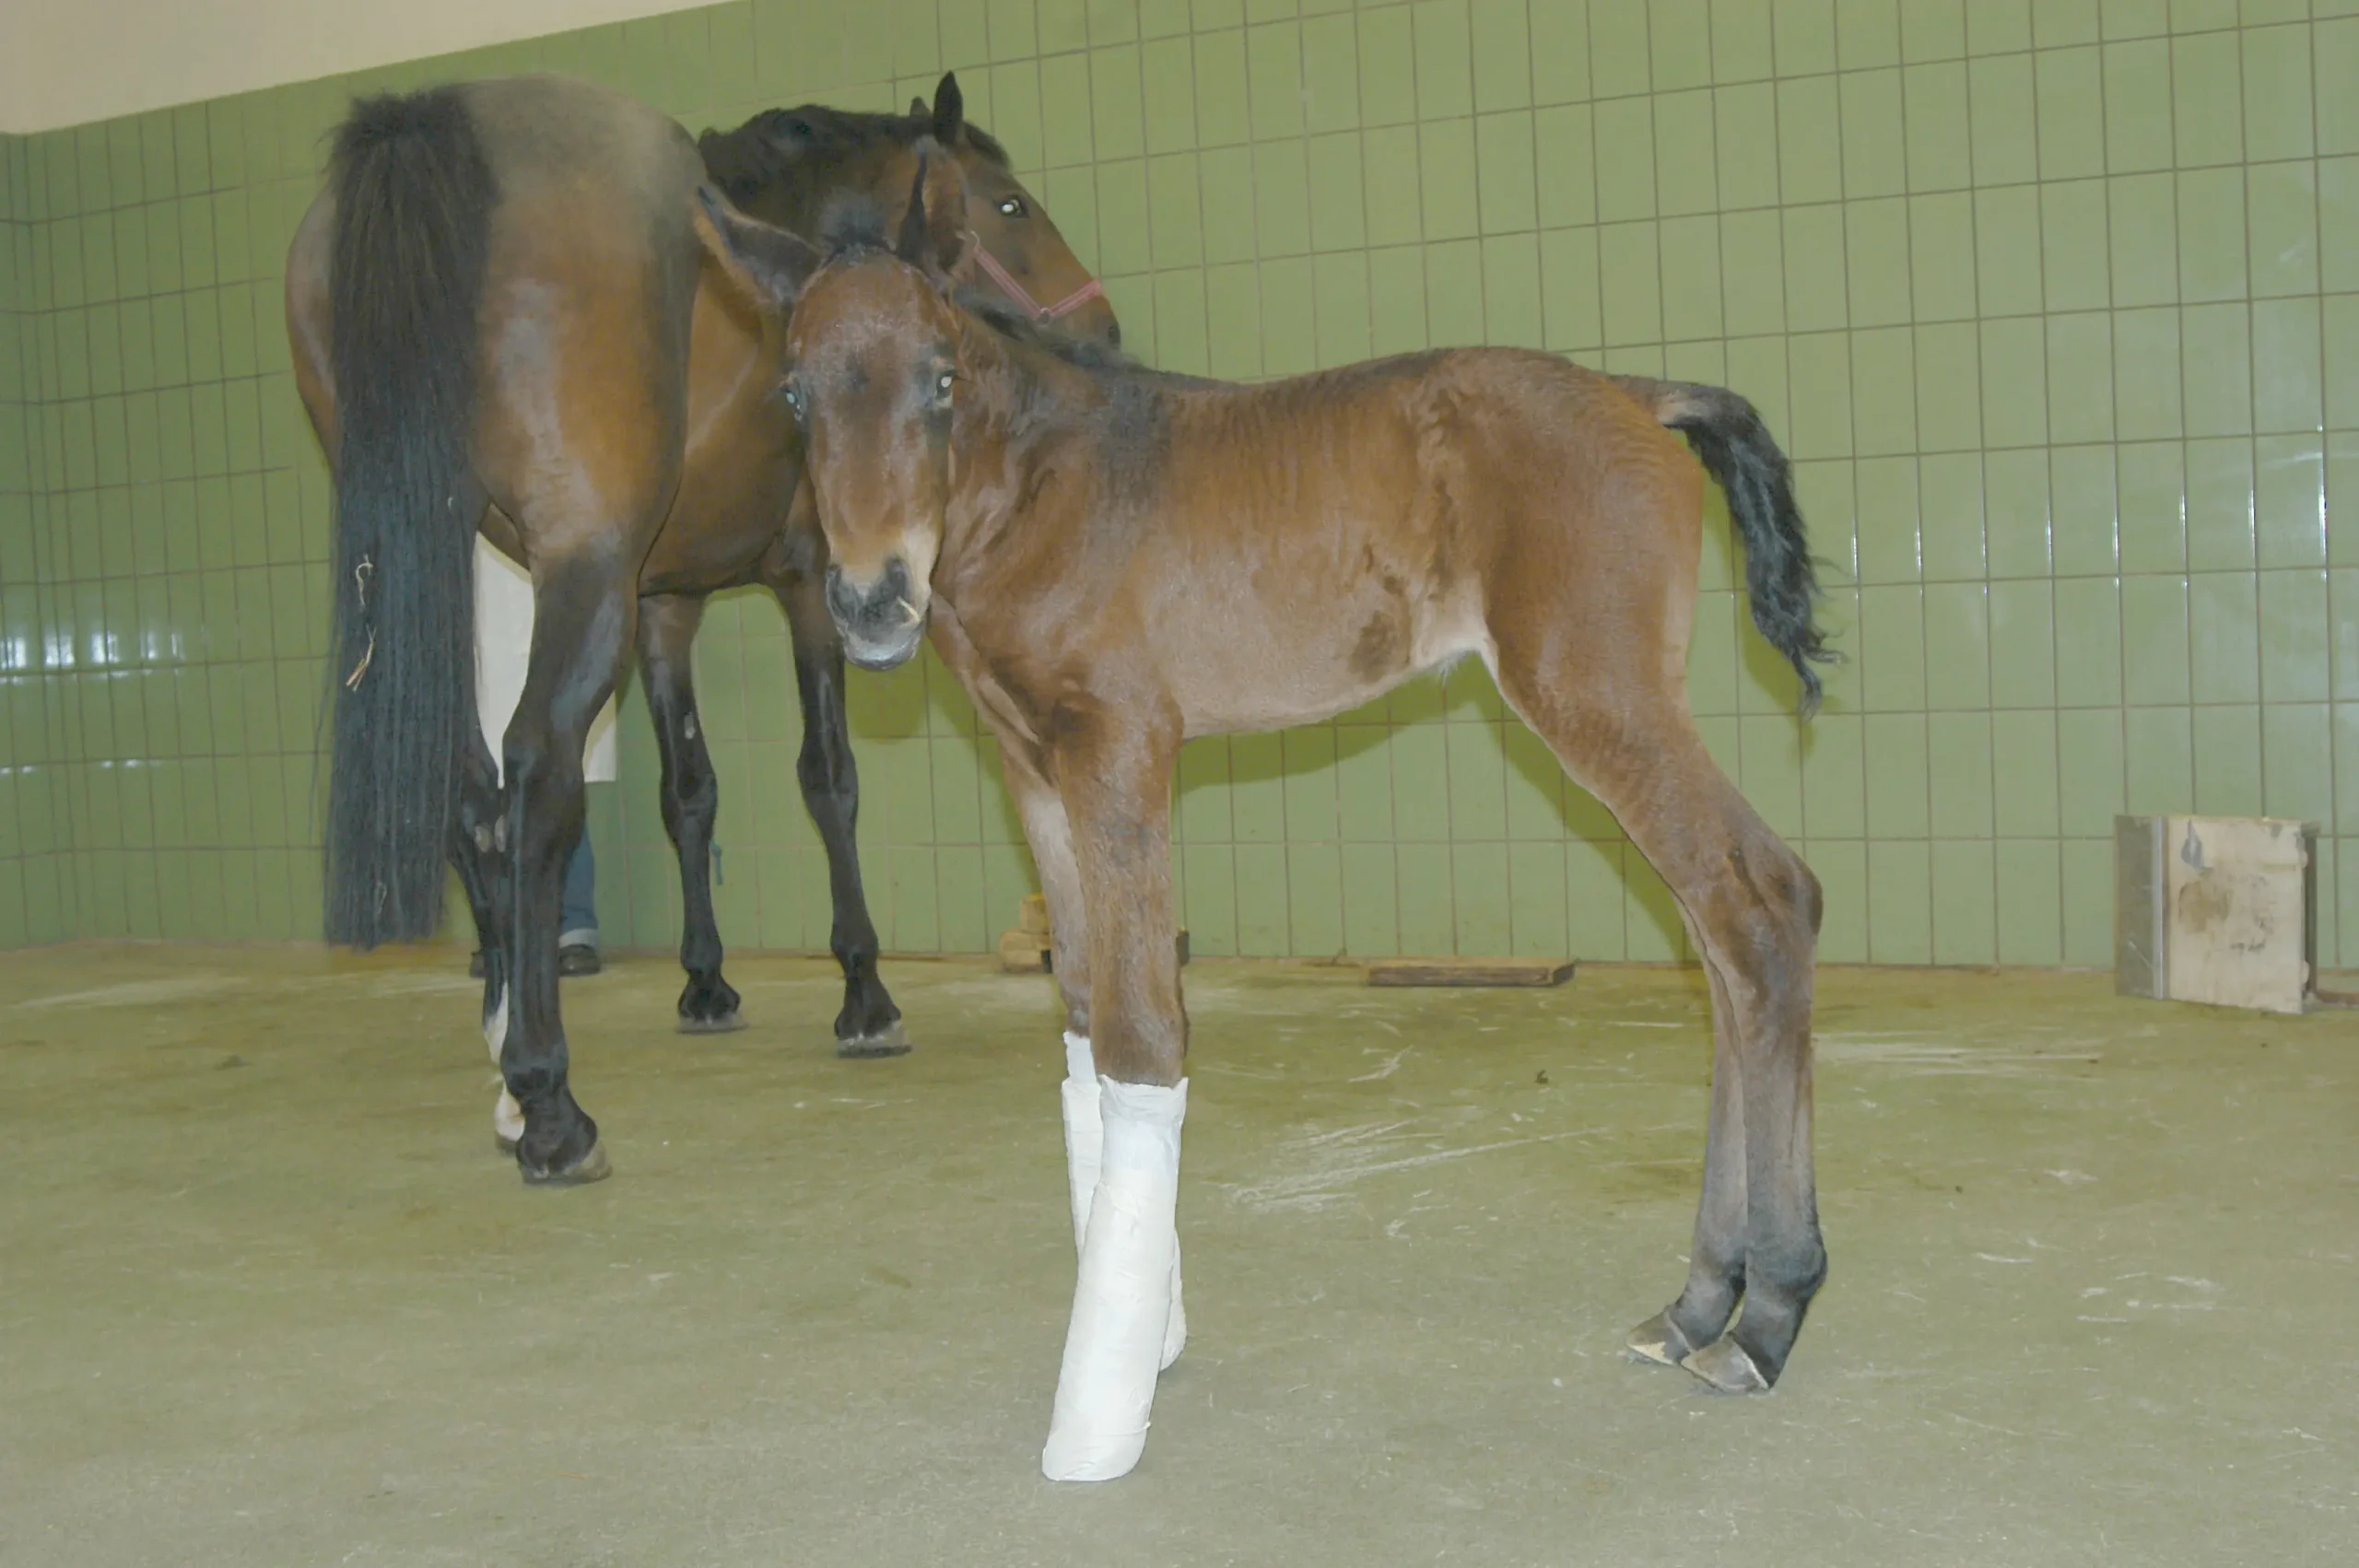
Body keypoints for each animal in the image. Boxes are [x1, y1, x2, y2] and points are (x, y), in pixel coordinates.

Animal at [283, 66, 1113, 1178]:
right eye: (1012, 206)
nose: (1103, 333)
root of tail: (432, 129)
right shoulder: (811, 585)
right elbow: (829, 779)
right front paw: (865, 994)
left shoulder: (661, 605)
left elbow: (690, 792)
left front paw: (706, 982)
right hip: (579, 577)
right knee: (536, 769)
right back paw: (548, 1100)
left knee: (468, 791)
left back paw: (506, 1058)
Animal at [698, 168, 1839, 1480]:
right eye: (794, 388)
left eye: (939, 376)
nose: (872, 599)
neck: (1044, 490)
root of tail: (1637, 396)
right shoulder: (1033, 772)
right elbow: (1082, 1012)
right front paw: (1149, 1326)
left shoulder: (1123, 750)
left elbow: (1145, 1030)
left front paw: (1098, 1405)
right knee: (1719, 939)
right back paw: (1701, 1301)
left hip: (1595, 698)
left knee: (1761, 904)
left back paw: (1767, 1312)